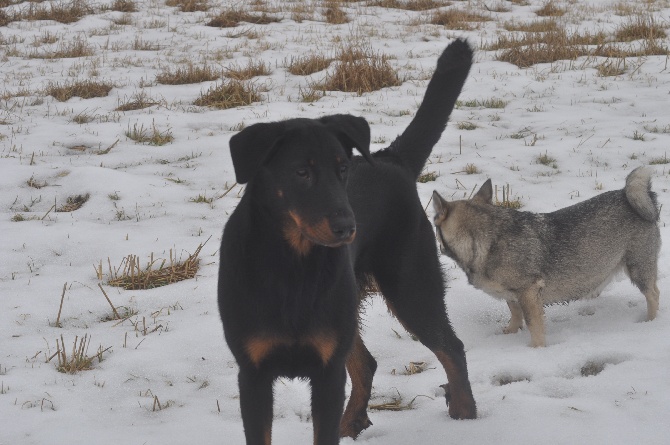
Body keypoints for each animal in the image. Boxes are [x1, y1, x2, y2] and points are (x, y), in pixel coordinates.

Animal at [218, 39, 476, 444]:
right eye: (301, 172)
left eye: (343, 169)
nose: (347, 226)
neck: (292, 265)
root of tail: (393, 158)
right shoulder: (253, 373)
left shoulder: (326, 372)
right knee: (366, 363)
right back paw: (351, 421)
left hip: (410, 286)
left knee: (451, 347)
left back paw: (465, 412)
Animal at [436, 167, 660, 346]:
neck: (489, 238)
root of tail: (628, 194)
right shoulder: (513, 294)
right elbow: (514, 311)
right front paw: (511, 331)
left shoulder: (529, 293)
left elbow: (534, 325)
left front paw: (536, 349)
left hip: (639, 269)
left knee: (653, 295)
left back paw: (650, 322)